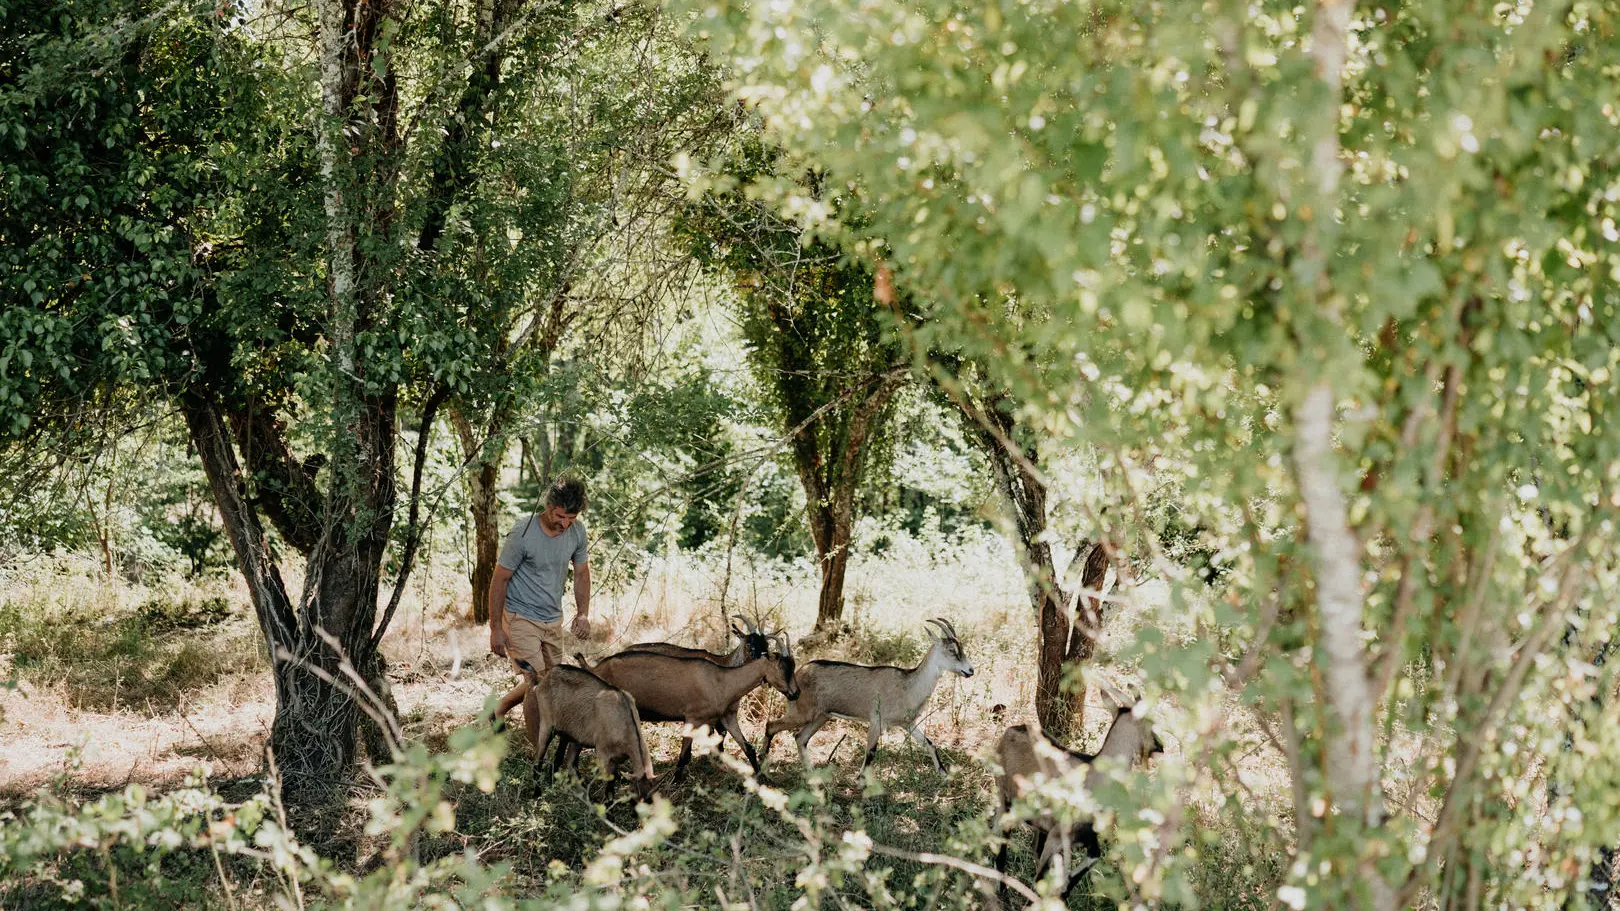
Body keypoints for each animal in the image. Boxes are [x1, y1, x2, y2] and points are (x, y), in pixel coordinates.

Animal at [511, 654, 651, 797]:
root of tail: (543, 680)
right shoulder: (604, 756)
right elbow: (609, 788)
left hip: (570, 734)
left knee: (561, 760)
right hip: (547, 725)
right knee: (538, 759)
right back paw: (537, 793)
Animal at [576, 635, 797, 778]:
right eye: (782, 668)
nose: (796, 693)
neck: (722, 680)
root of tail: (594, 668)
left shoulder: (726, 717)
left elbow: (748, 747)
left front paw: (763, 778)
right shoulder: (693, 718)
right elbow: (683, 756)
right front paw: (675, 782)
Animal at [761, 609, 972, 771]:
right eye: (952, 651)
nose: (970, 670)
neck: (908, 685)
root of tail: (799, 672)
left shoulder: (908, 724)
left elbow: (930, 743)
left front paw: (943, 773)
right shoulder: (876, 721)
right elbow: (870, 752)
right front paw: (862, 784)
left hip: (822, 716)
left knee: (800, 738)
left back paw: (811, 775)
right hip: (802, 712)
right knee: (771, 725)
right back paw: (762, 767)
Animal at [984, 703, 1166, 894]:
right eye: (1150, 723)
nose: (1160, 746)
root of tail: (1013, 729)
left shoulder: (1086, 837)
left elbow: (1087, 862)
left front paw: (1064, 890)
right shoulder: (1057, 837)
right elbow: (1040, 878)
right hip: (1005, 798)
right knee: (1002, 837)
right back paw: (1001, 889)